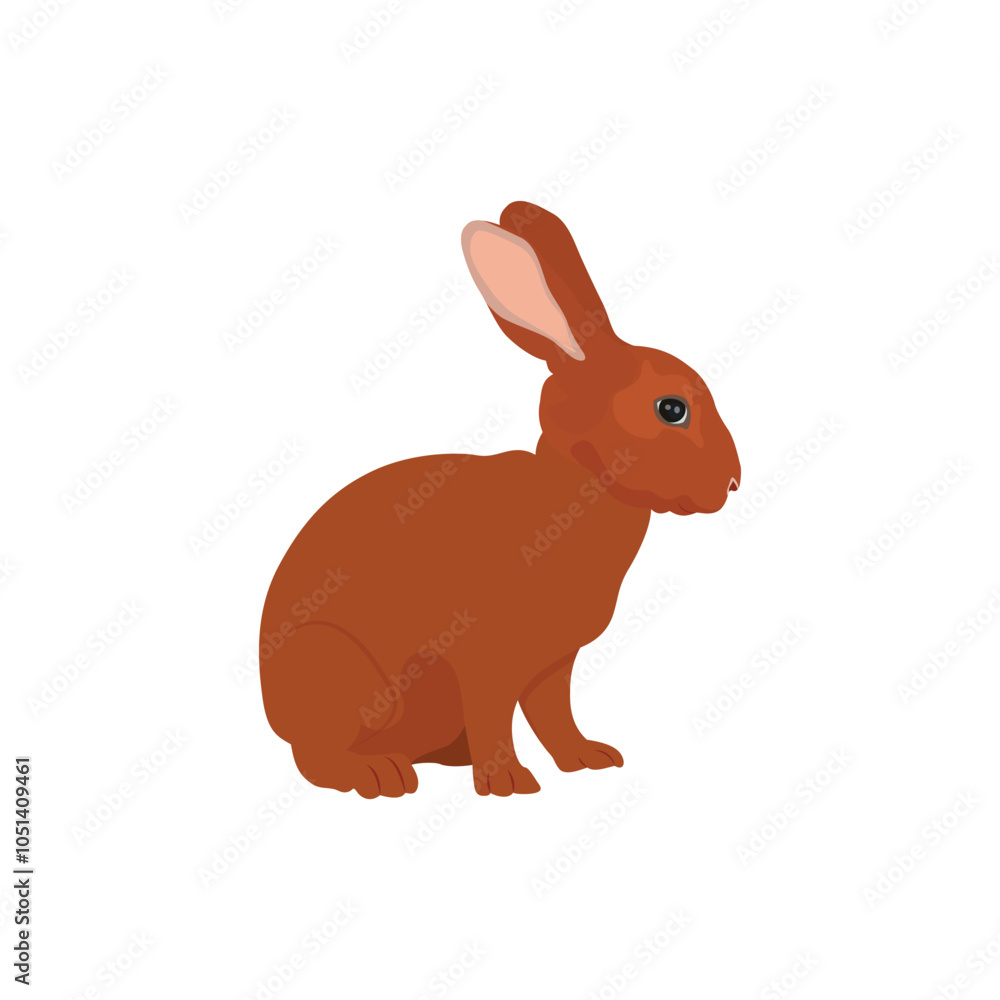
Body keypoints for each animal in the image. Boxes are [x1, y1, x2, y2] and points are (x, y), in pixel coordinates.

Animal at [259, 201, 740, 797]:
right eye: (671, 409)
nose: (732, 482)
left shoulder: (554, 664)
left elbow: (554, 714)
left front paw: (589, 759)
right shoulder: (485, 658)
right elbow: (496, 713)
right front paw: (508, 781)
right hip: (340, 673)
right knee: (313, 755)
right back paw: (377, 774)